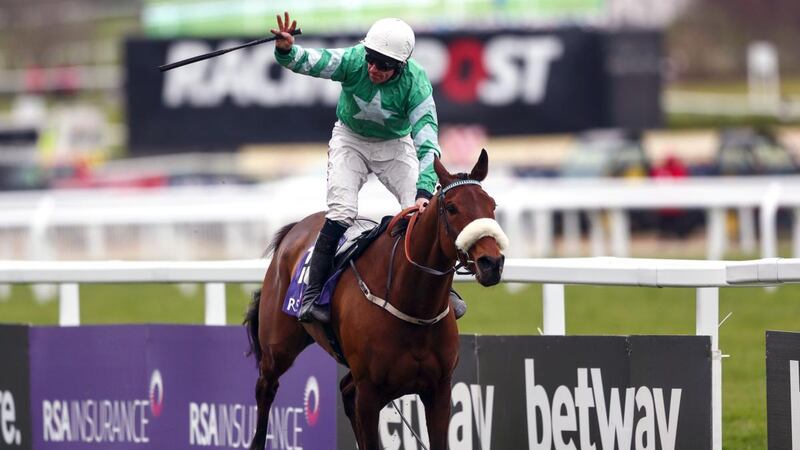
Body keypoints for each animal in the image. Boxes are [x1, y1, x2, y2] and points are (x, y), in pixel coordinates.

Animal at [244, 151, 506, 450]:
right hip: (278, 348)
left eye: (492, 205)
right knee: (266, 387)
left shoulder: (439, 389)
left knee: (345, 390)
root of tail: (293, 229)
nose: (491, 263)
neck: (414, 307)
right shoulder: (369, 393)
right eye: (451, 208)